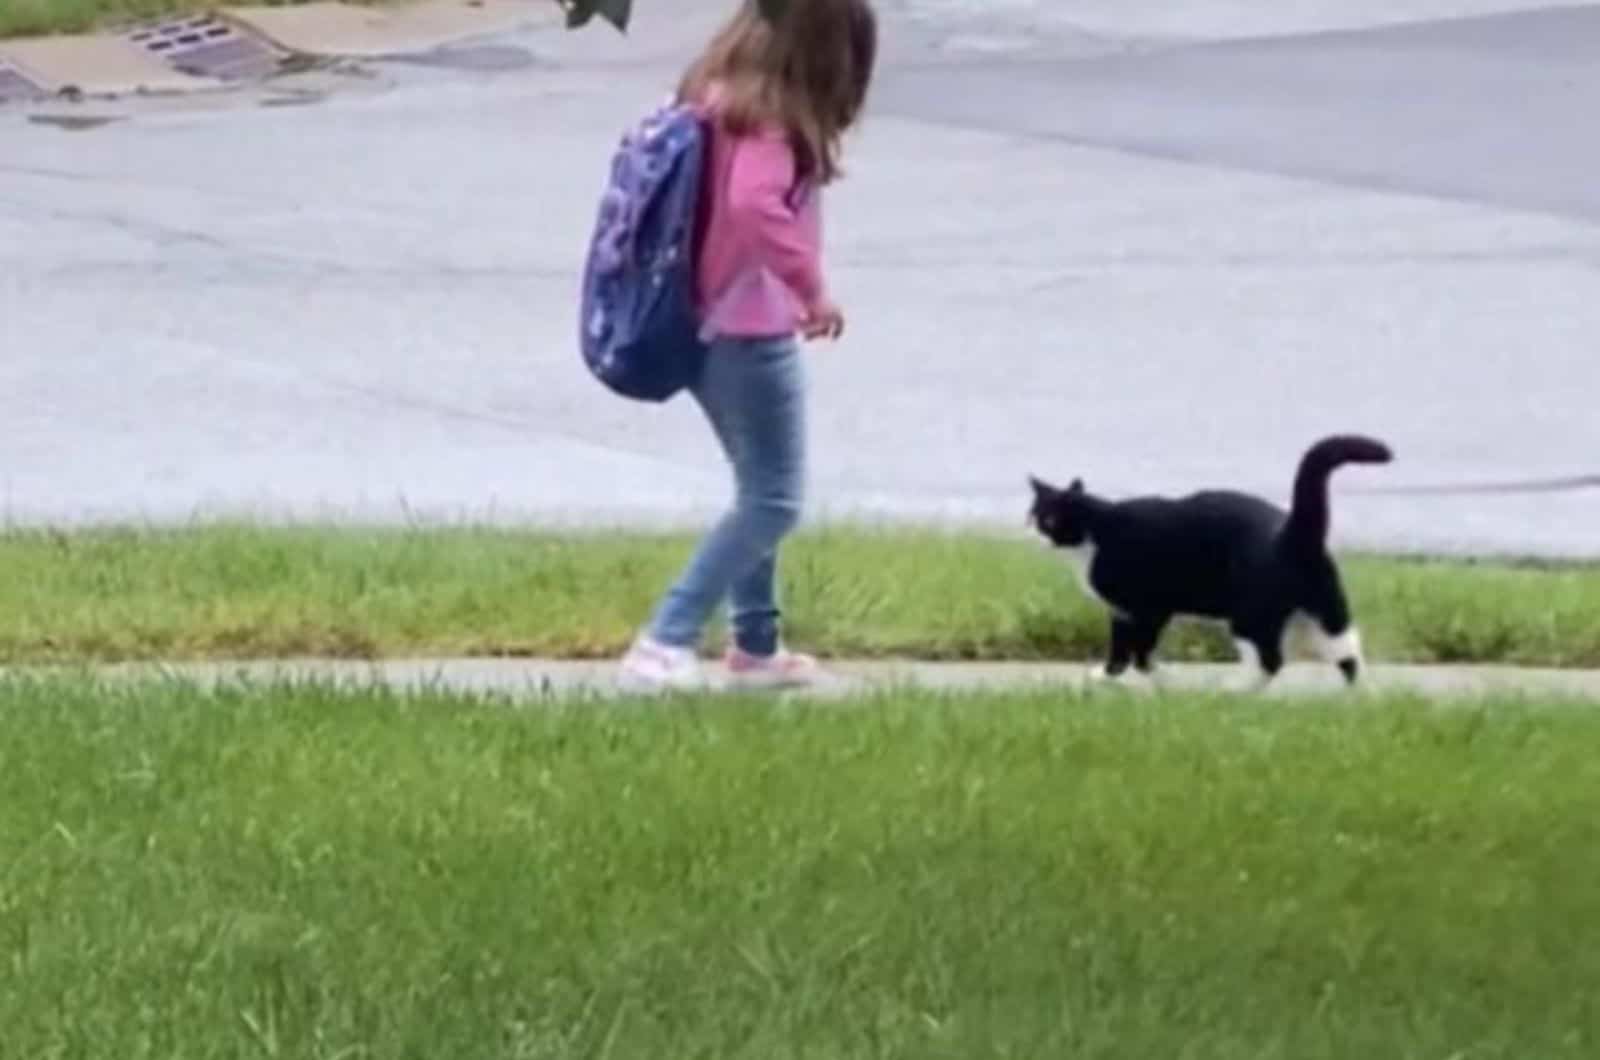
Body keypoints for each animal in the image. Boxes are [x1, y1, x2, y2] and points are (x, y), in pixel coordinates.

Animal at [1030, 435, 1395, 694]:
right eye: (1031, 516)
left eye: (1047, 519)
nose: (1031, 533)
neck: (1095, 530)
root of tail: (1292, 534)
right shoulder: (1121, 612)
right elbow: (1121, 652)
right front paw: (1104, 678)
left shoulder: (1148, 608)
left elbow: (1141, 653)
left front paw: (1166, 684)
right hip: (1324, 610)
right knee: (1347, 651)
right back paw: (1363, 697)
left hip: (1251, 615)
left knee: (1272, 660)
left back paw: (1233, 692)